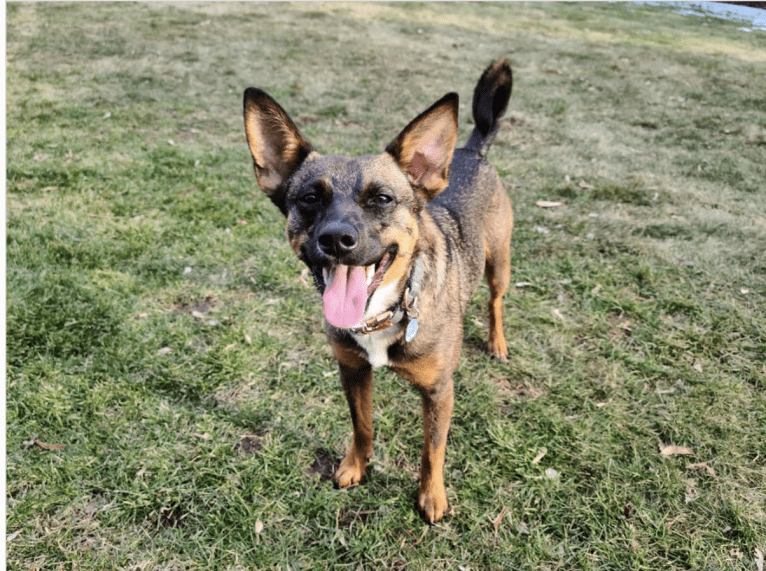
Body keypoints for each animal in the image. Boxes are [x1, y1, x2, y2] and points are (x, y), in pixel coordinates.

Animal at [243, 59, 512, 524]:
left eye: (382, 199)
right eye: (309, 198)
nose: (336, 239)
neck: (383, 312)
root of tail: (472, 150)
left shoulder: (440, 392)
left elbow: (432, 450)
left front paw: (431, 496)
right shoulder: (352, 370)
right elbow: (362, 425)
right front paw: (355, 466)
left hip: (498, 261)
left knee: (495, 300)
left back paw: (497, 341)